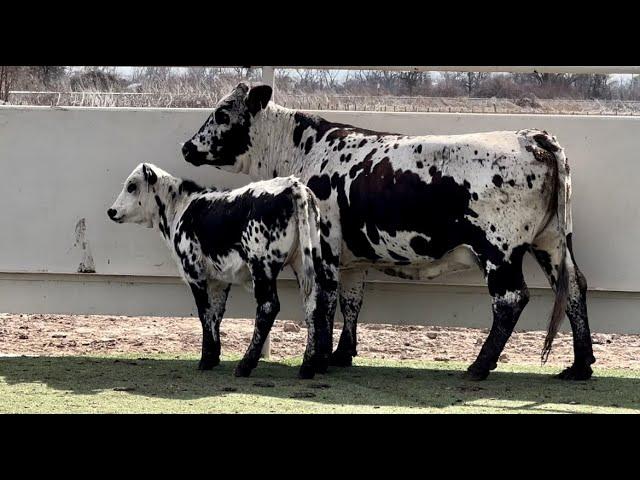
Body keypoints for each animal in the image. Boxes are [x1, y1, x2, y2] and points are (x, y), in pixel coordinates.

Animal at [107, 165, 328, 378]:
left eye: (132, 186)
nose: (111, 211)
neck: (181, 207)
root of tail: (292, 186)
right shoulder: (219, 280)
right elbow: (216, 314)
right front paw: (213, 357)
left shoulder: (195, 274)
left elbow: (204, 313)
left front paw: (205, 359)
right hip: (305, 263)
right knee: (313, 307)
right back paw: (307, 367)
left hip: (261, 267)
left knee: (268, 307)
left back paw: (245, 365)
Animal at [180, 83, 596, 382]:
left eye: (222, 112)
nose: (186, 146)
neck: (304, 149)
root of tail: (529, 136)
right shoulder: (350, 261)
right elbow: (350, 301)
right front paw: (341, 354)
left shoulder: (325, 248)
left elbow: (323, 301)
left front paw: (317, 360)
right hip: (551, 242)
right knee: (575, 286)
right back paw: (580, 366)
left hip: (499, 249)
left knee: (510, 299)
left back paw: (480, 365)